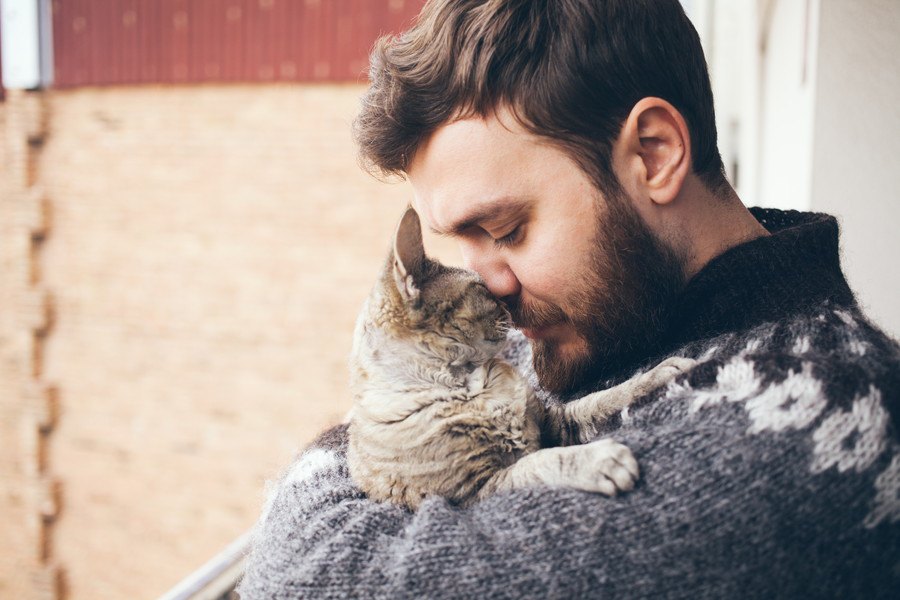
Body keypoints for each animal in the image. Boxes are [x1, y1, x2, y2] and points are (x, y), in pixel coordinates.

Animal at [346, 209, 696, 508]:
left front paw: (662, 373)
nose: (506, 303)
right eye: (482, 289)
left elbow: (606, 397)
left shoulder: (556, 421)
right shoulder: (475, 492)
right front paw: (599, 460)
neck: (471, 384)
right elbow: (539, 462)